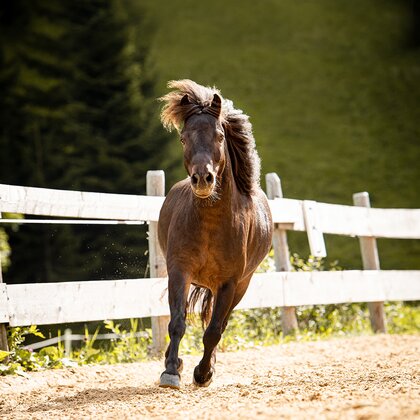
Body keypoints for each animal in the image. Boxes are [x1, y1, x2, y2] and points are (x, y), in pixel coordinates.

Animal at [157, 79, 272, 388]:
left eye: (220, 136)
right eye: (183, 139)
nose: (202, 179)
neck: (211, 224)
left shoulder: (229, 283)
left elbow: (213, 331)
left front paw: (203, 373)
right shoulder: (179, 271)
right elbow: (177, 322)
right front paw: (171, 370)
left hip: (242, 286)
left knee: (221, 324)